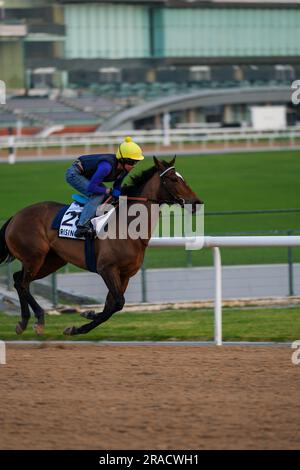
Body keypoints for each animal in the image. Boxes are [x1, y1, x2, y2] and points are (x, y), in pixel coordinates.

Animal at [0, 157, 203, 334]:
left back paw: (23, 322)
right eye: (173, 179)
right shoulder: (106, 268)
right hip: (35, 257)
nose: (197, 203)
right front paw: (83, 321)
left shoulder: (125, 274)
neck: (128, 227)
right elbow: (118, 303)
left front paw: (83, 321)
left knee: (19, 280)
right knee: (23, 283)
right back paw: (39, 320)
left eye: (182, 178)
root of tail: (15, 216)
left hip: (52, 260)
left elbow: (111, 306)